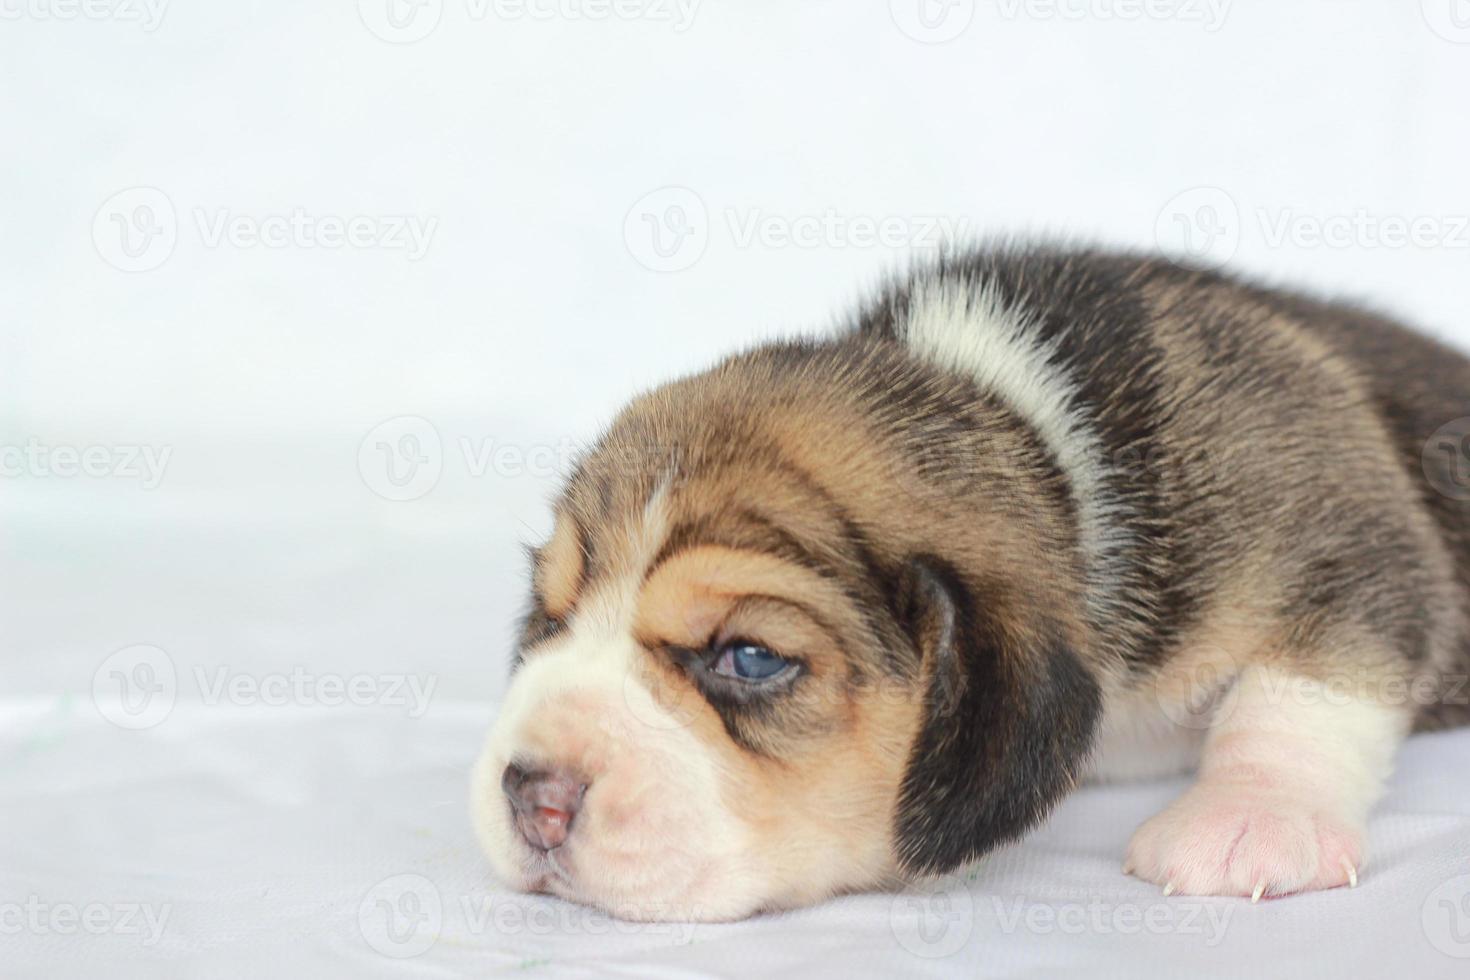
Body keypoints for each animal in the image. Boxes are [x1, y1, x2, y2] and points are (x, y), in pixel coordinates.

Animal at [470, 243, 1470, 922]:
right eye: (550, 619)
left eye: (750, 659)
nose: (533, 796)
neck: (1041, 445)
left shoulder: (1345, 530)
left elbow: (1305, 686)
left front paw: (1252, 816)